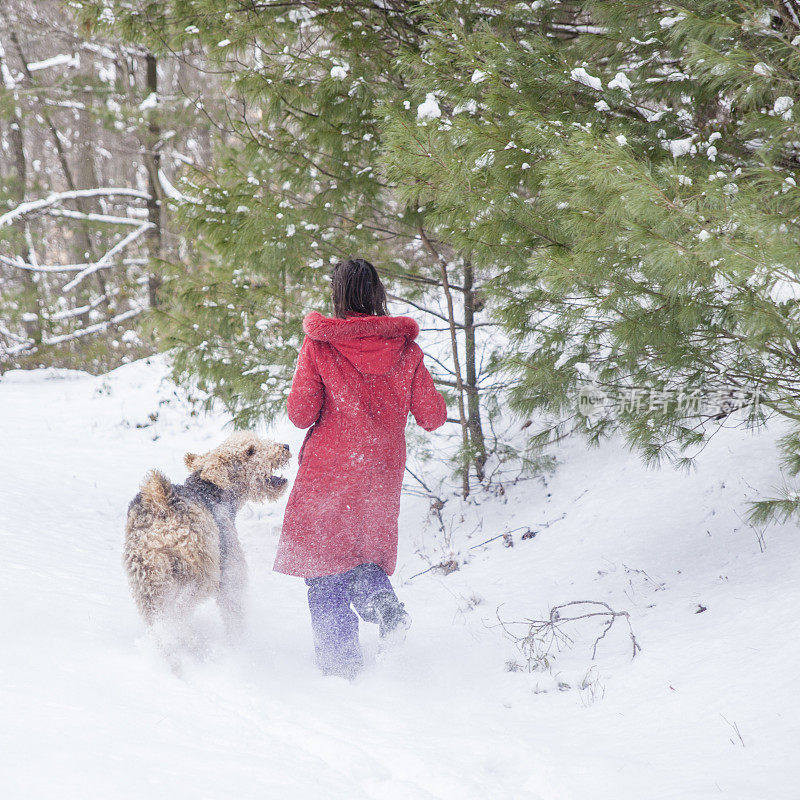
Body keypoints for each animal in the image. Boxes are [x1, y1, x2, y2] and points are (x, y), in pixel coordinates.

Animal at [122, 432, 290, 664]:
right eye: (250, 450)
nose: (286, 447)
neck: (213, 494)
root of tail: (161, 503)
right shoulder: (232, 577)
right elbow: (235, 617)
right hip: (203, 574)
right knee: (179, 612)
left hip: (146, 581)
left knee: (161, 624)